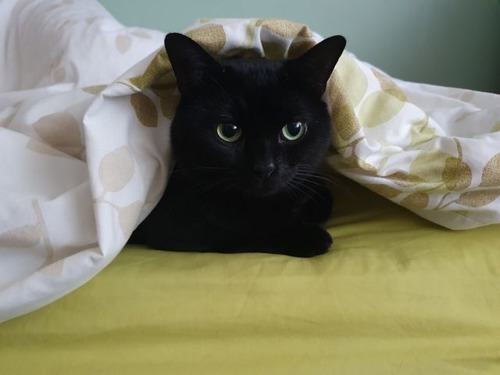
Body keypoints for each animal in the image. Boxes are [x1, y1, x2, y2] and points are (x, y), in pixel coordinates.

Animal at [129, 32, 346, 258]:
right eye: (228, 131)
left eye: (294, 130)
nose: (265, 168)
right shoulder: (178, 225)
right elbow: (245, 231)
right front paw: (309, 236)